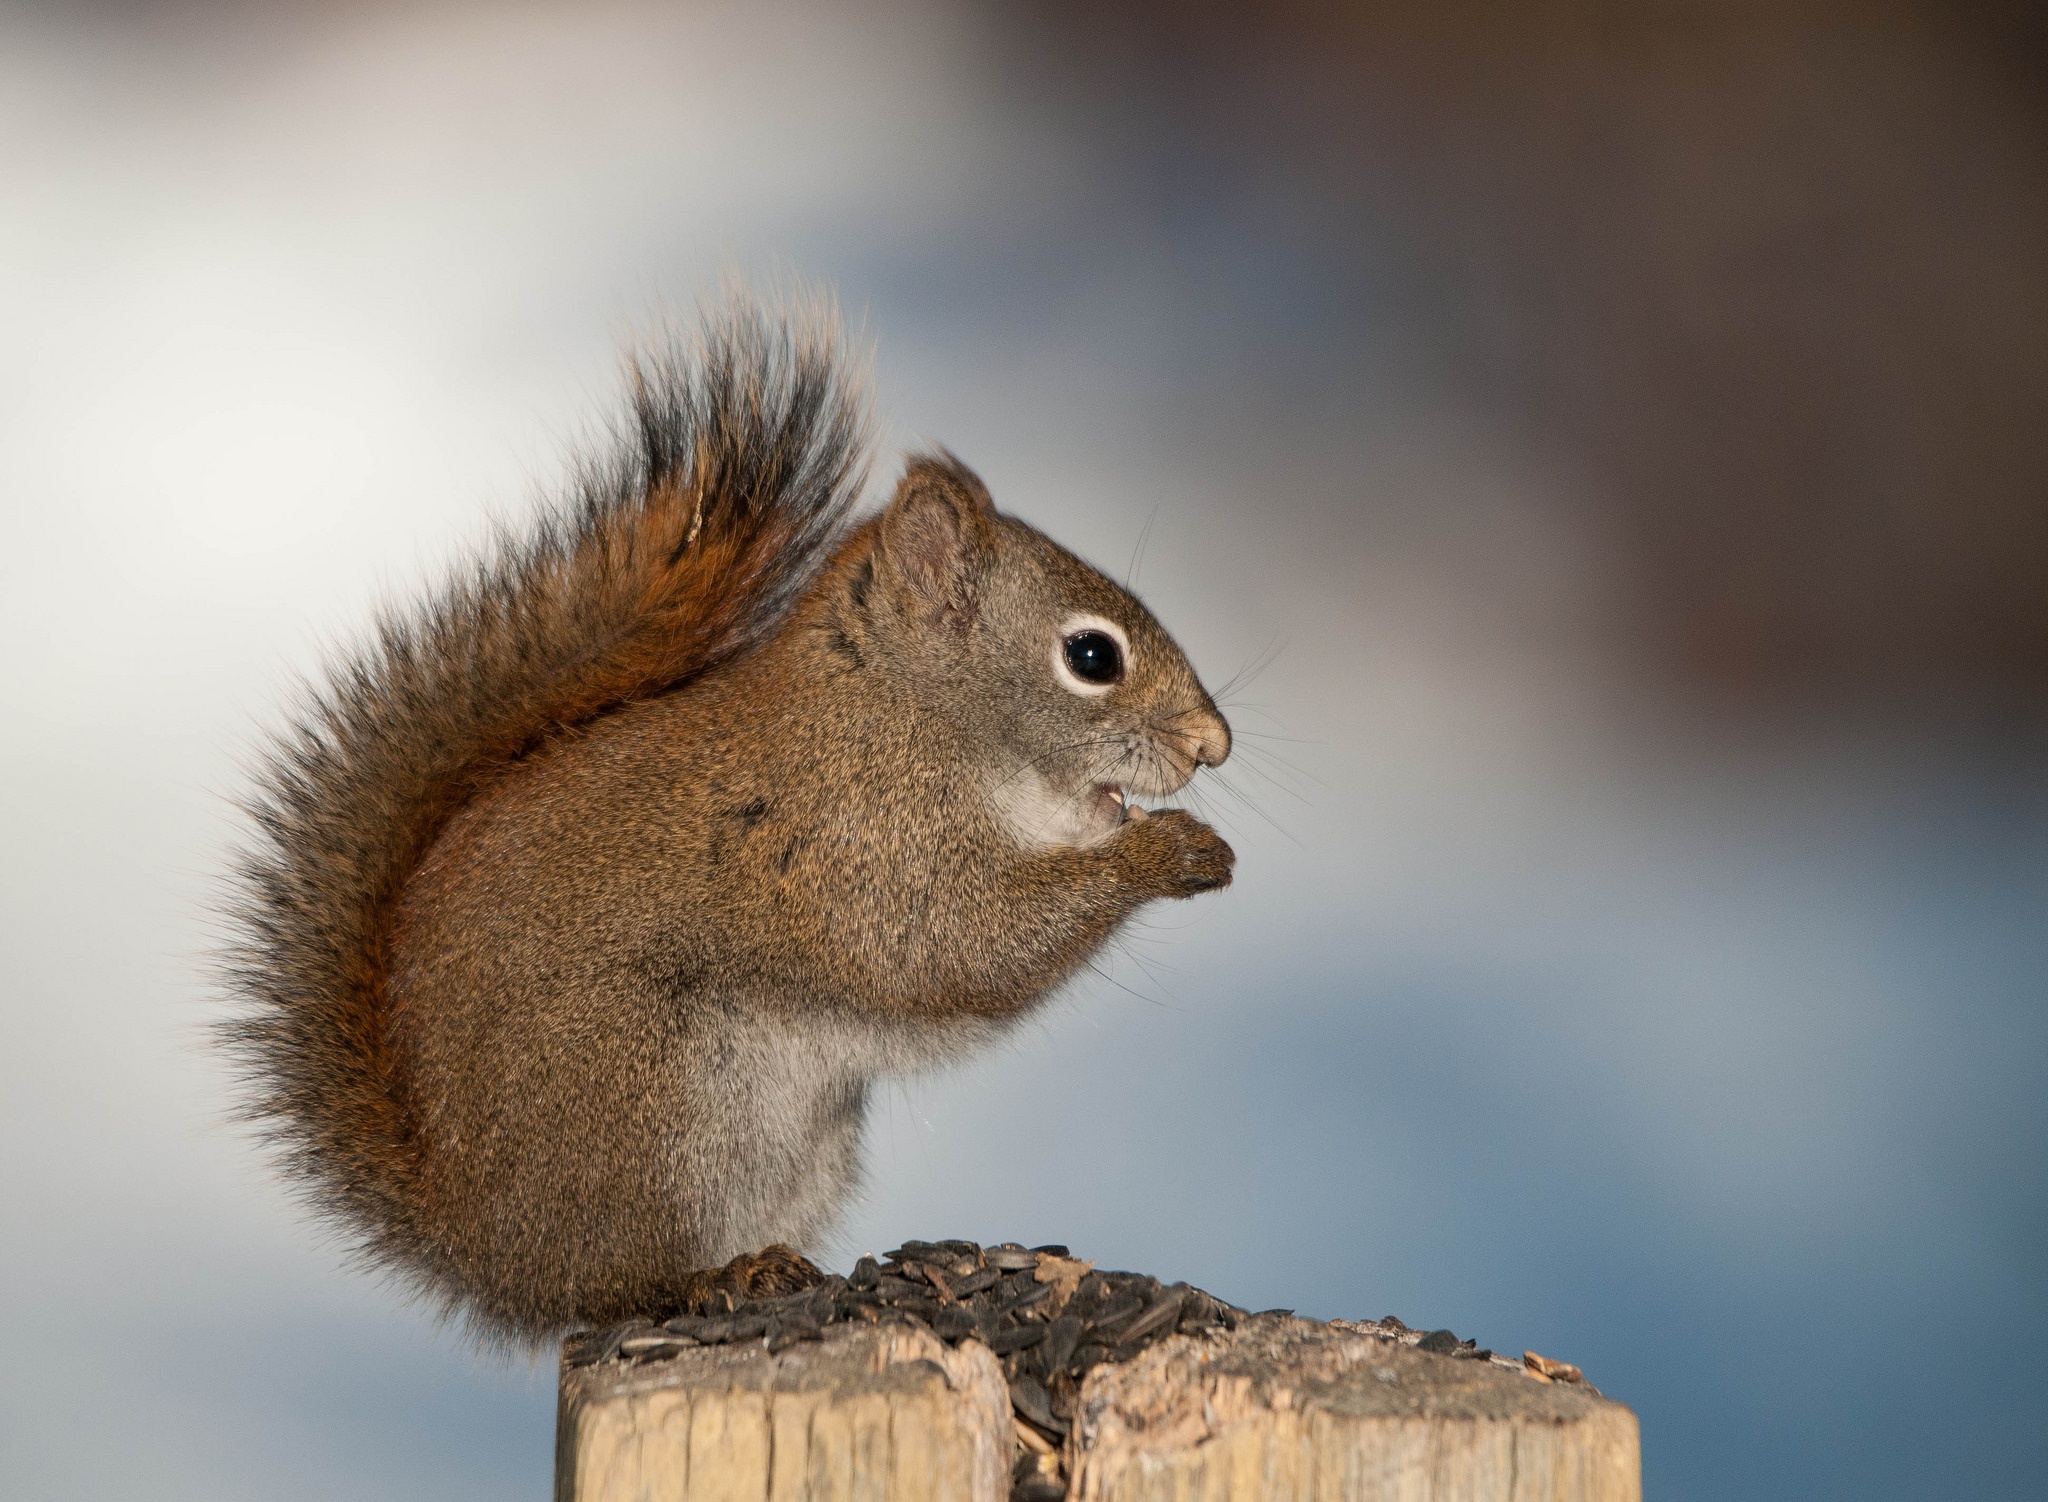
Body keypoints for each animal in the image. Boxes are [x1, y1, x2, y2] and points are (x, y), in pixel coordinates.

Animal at [220, 295, 1228, 1344]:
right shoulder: (854, 839)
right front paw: (1168, 851)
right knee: (616, 1288)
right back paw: (711, 1280)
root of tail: (481, 1251)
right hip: (654, 1106)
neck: (905, 709)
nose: (1214, 743)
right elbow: (957, 942)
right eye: (1091, 656)